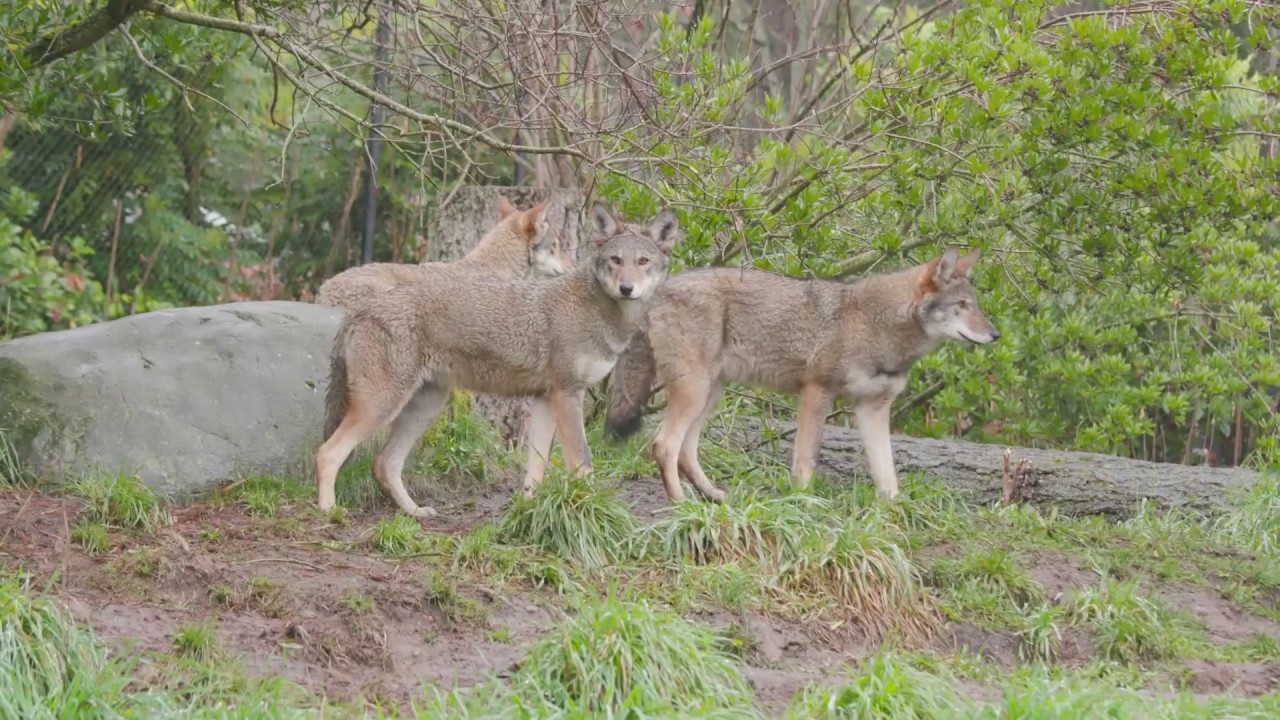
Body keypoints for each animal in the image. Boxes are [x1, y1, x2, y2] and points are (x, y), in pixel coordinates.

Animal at [605, 248, 1000, 503]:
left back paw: (714, 497)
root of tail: (658, 290)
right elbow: (806, 462)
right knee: (664, 445)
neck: (879, 326)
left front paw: (893, 517)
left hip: (710, 392)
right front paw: (802, 504)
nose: (995, 335)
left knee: (686, 450)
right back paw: (680, 504)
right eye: (962, 306)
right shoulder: (816, 391)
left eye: (975, 306)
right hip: (695, 391)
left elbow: (887, 476)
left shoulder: (873, 408)